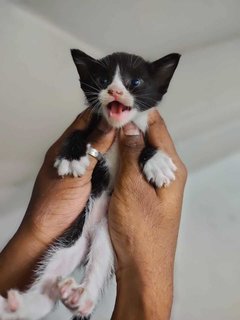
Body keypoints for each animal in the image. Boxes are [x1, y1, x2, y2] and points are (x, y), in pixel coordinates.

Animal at [0, 48, 180, 318]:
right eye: (103, 80)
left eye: (135, 82)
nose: (115, 91)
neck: (117, 131)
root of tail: (88, 236)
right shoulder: (92, 125)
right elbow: (77, 133)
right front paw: (72, 157)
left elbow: (143, 141)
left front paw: (156, 160)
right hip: (71, 237)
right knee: (50, 277)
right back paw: (19, 305)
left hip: (106, 237)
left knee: (98, 264)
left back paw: (81, 298)